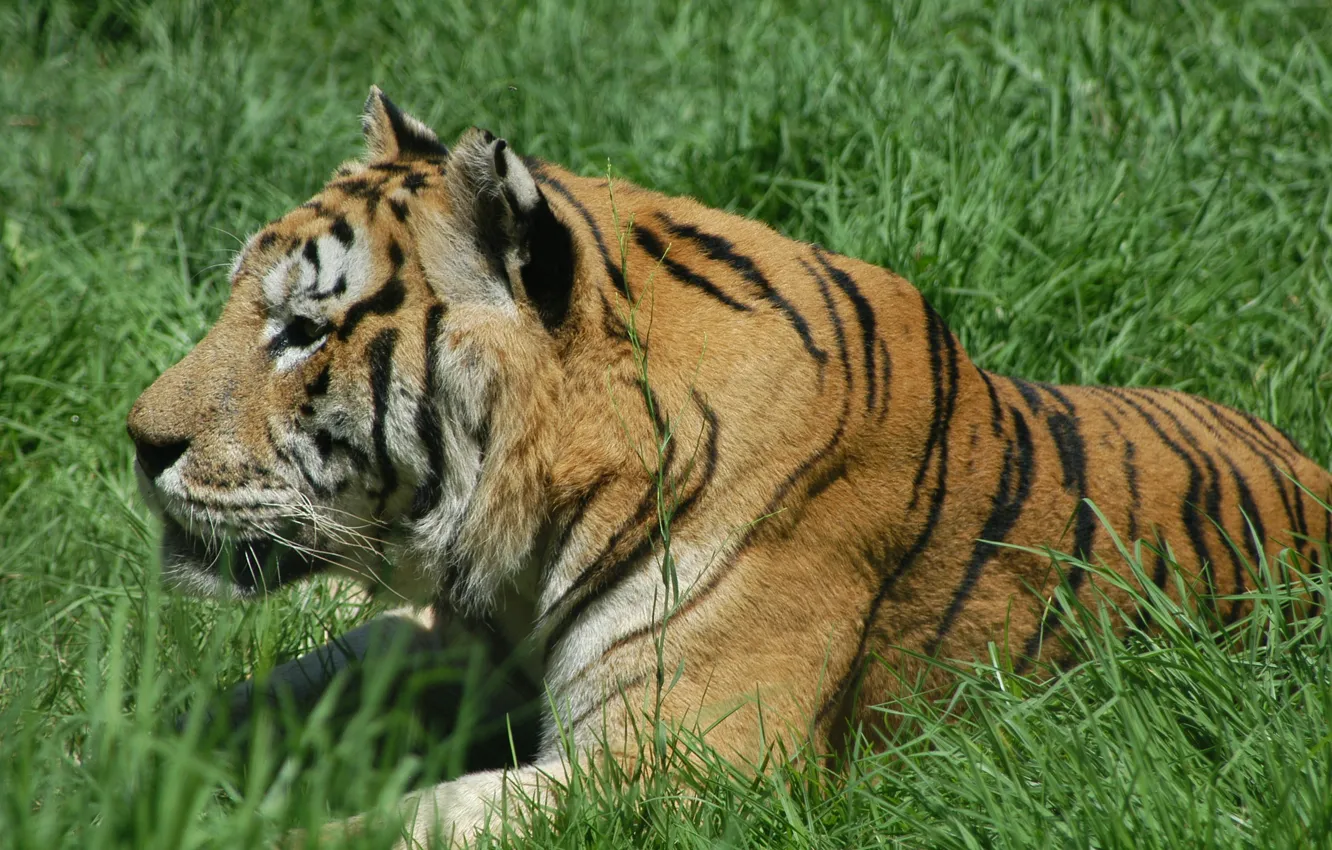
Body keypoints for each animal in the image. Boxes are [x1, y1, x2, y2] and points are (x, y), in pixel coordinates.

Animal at [127, 86, 1332, 847]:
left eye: (302, 332)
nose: (137, 443)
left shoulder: (692, 757)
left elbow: (398, 821)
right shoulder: (443, 642)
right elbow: (265, 694)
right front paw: (122, 759)